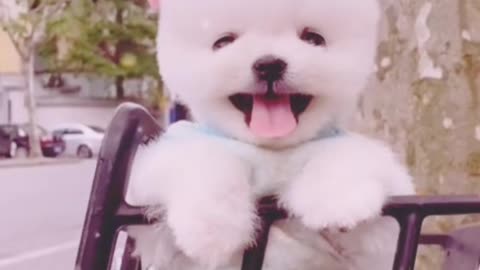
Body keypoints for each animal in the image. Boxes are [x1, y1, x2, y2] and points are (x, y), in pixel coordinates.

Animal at [125, 0, 414, 268]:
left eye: (313, 38)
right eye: (223, 42)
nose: (270, 64)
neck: (272, 151)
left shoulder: (379, 240)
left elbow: (346, 157)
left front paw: (338, 199)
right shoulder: (151, 220)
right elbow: (205, 160)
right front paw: (212, 224)